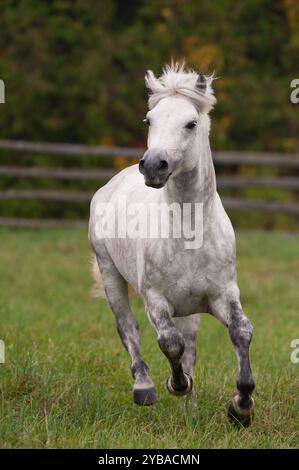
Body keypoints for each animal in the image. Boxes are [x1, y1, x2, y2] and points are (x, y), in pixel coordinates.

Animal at [89, 63, 255, 426]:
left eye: (191, 123)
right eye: (149, 120)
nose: (153, 165)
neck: (190, 233)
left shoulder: (222, 294)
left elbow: (240, 332)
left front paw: (241, 407)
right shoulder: (156, 300)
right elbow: (169, 343)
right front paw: (177, 385)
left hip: (189, 308)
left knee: (189, 343)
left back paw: (190, 408)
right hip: (110, 274)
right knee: (129, 330)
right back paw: (145, 388)